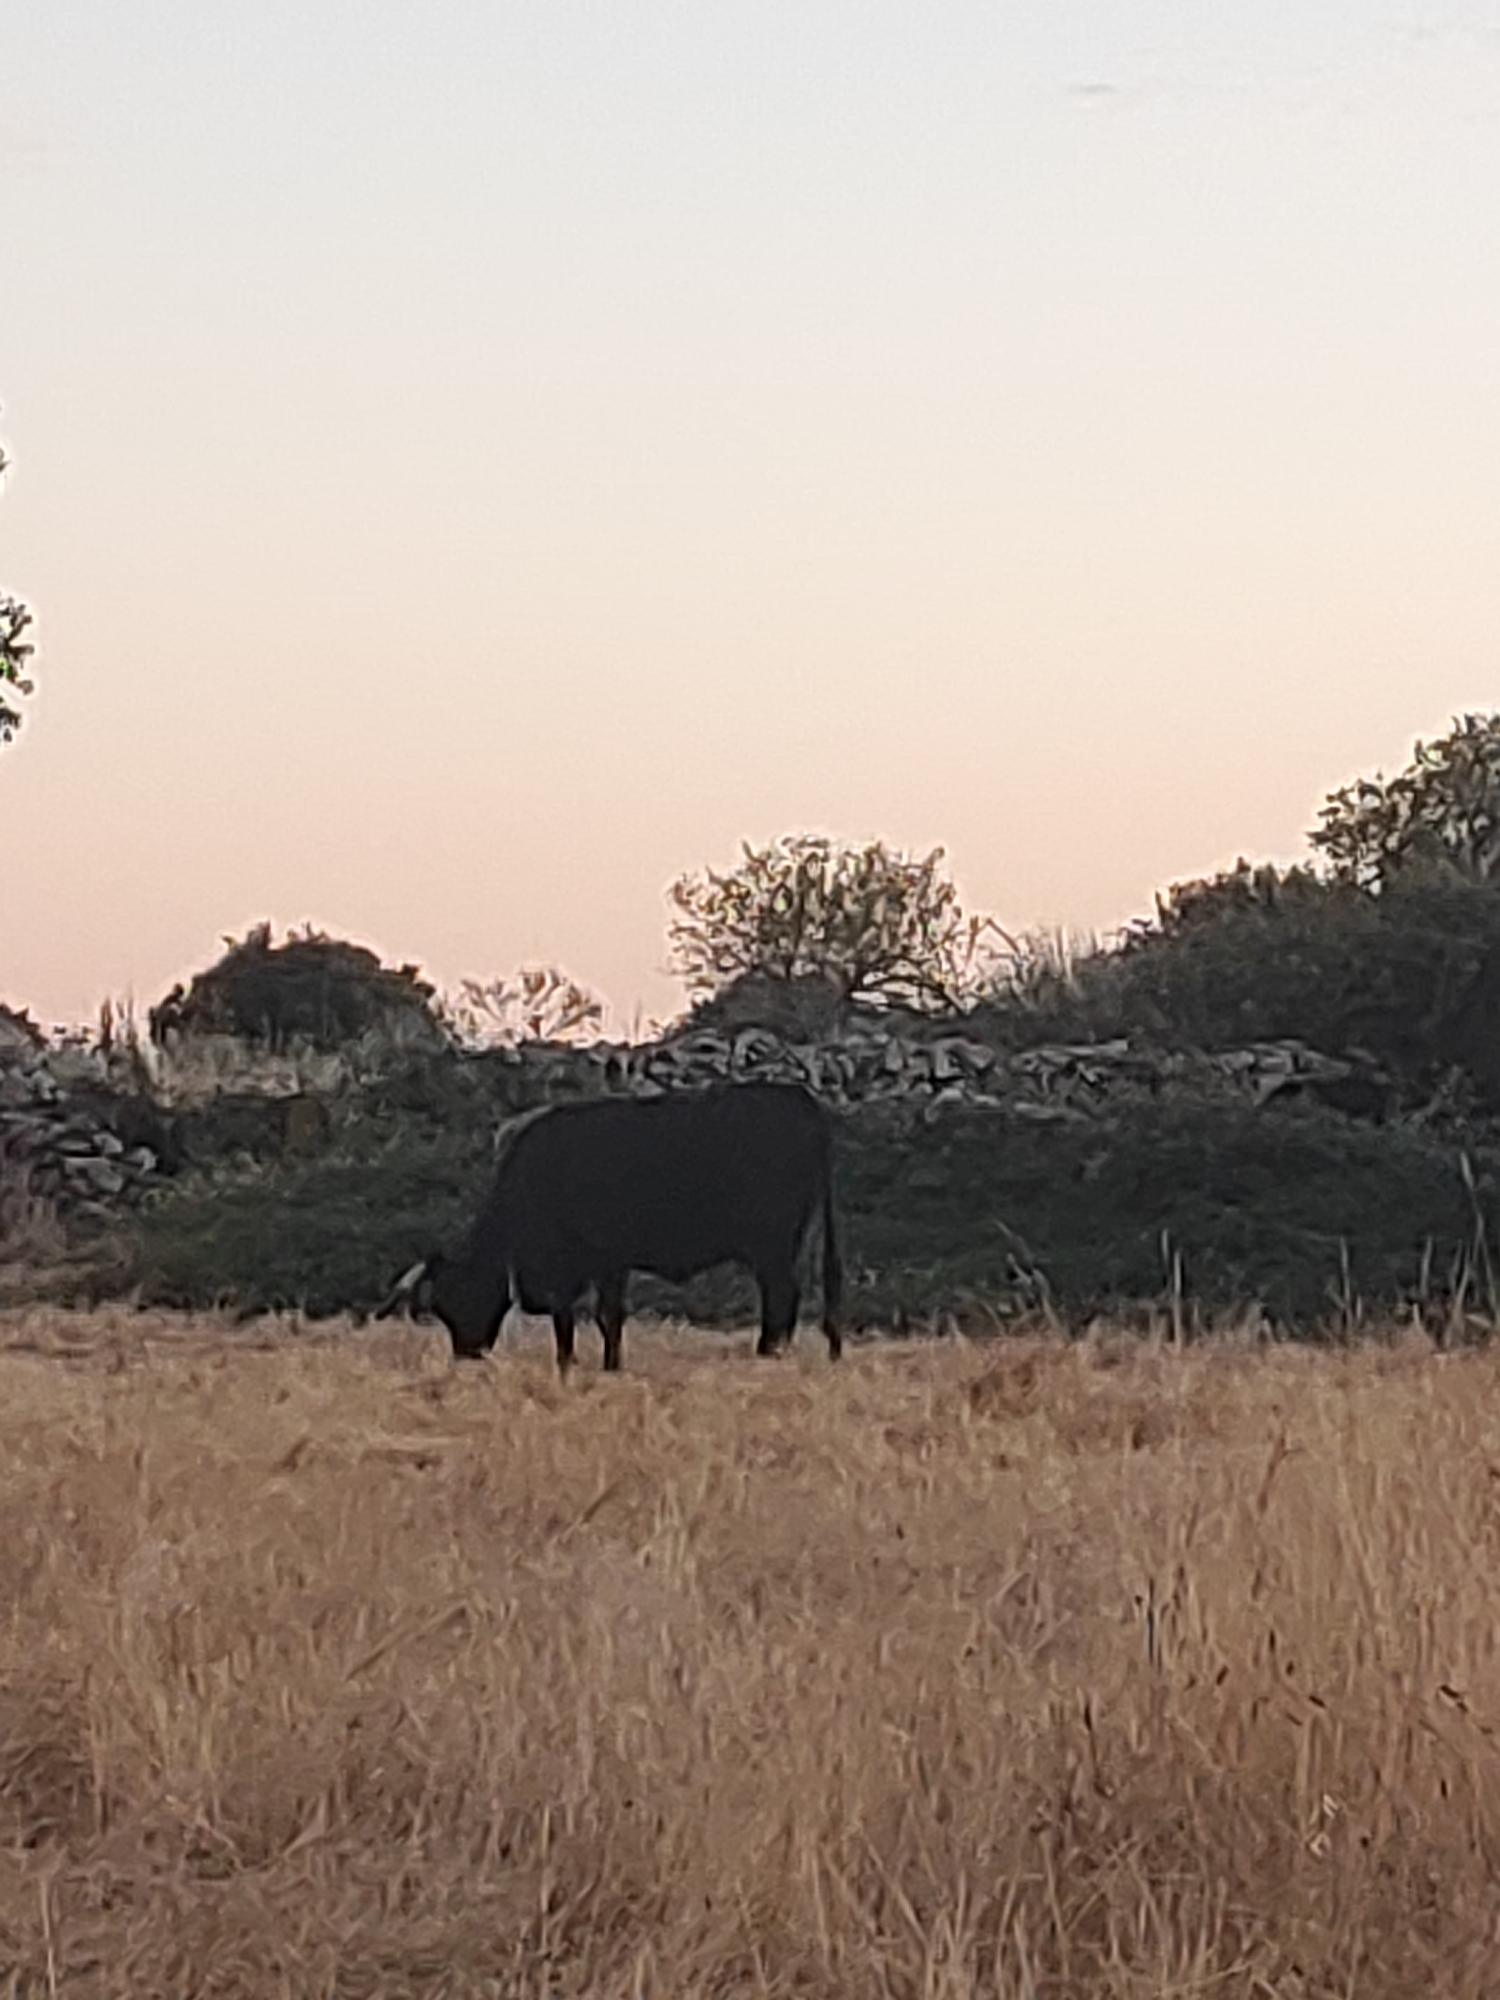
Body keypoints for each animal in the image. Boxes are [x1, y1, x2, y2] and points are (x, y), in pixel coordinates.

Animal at [374, 1082, 842, 1372]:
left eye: (460, 1296)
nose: (467, 1355)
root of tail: (799, 1099)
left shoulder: (594, 1261)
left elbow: (595, 1316)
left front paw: (592, 1365)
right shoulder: (599, 1266)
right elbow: (592, 1318)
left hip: (771, 1245)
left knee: (782, 1297)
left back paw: (767, 1354)